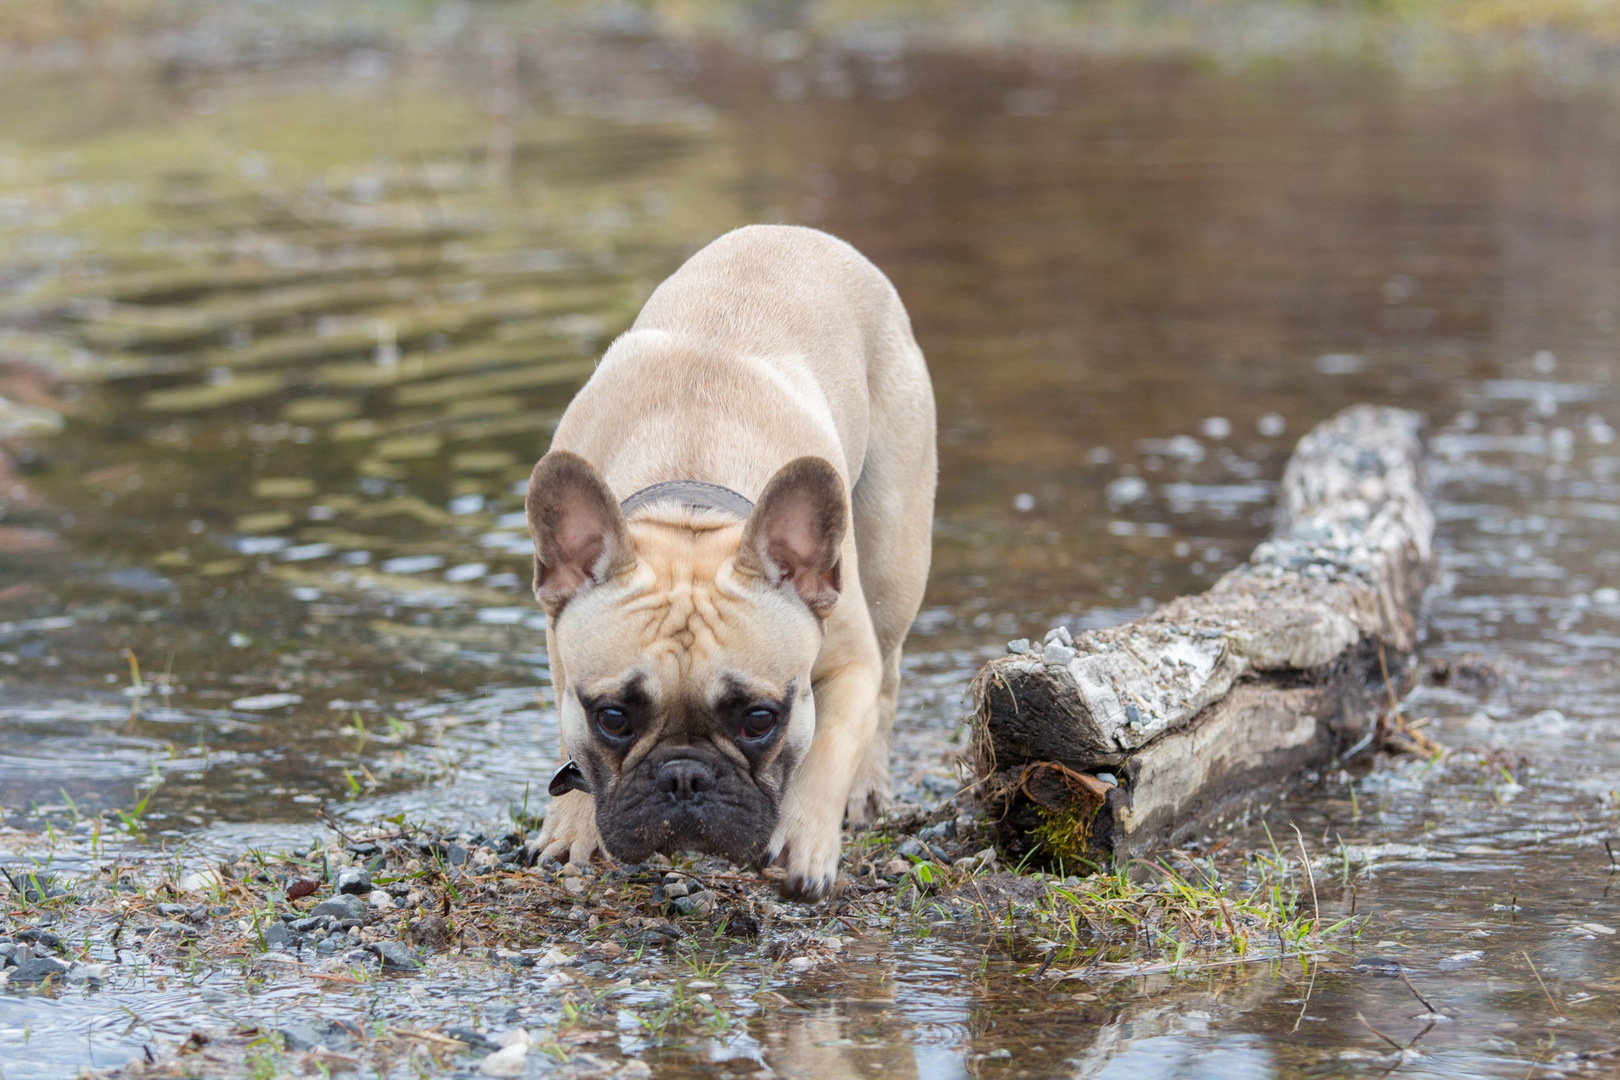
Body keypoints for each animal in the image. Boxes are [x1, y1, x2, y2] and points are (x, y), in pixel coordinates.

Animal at [528, 223, 939, 900]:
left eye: (759, 720)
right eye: (612, 717)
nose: (684, 778)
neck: (692, 509)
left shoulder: (849, 664)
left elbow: (829, 746)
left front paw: (804, 836)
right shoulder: (563, 659)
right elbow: (573, 743)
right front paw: (575, 822)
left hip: (893, 556)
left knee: (889, 676)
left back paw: (864, 789)